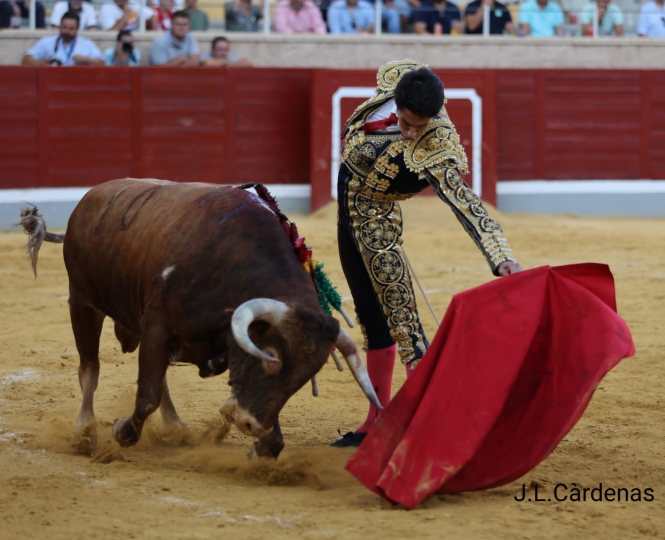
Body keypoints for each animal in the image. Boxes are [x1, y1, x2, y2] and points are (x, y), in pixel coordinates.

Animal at [16, 179, 378, 458]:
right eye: (270, 356)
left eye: (305, 376)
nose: (250, 424)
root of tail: (90, 198)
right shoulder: (158, 324)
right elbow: (145, 395)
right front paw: (121, 431)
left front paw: (264, 445)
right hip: (82, 302)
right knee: (89, 369)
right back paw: (84, 433)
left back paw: (175, 428)